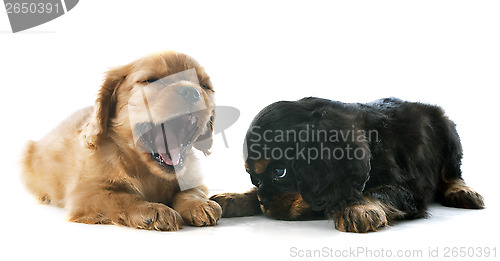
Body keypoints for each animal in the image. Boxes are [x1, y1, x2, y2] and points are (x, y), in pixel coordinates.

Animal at [21, 50, 221, 230]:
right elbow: (123, 197)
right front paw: (152, 209)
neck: (148, 172)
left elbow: (190, 191)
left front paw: (198, 204)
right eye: (151, 80)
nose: (192, 92)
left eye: (205, 86)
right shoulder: (86, 194)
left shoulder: (193, 178)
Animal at [212, 97, 484, 232]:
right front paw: (234, 197)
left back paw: (462, 191)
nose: (264, 203)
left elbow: (378, 191)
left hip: (449, 132)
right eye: (254, 179)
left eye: (280, 172)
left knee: (453, 173)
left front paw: (358, 207)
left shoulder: (409, 189)